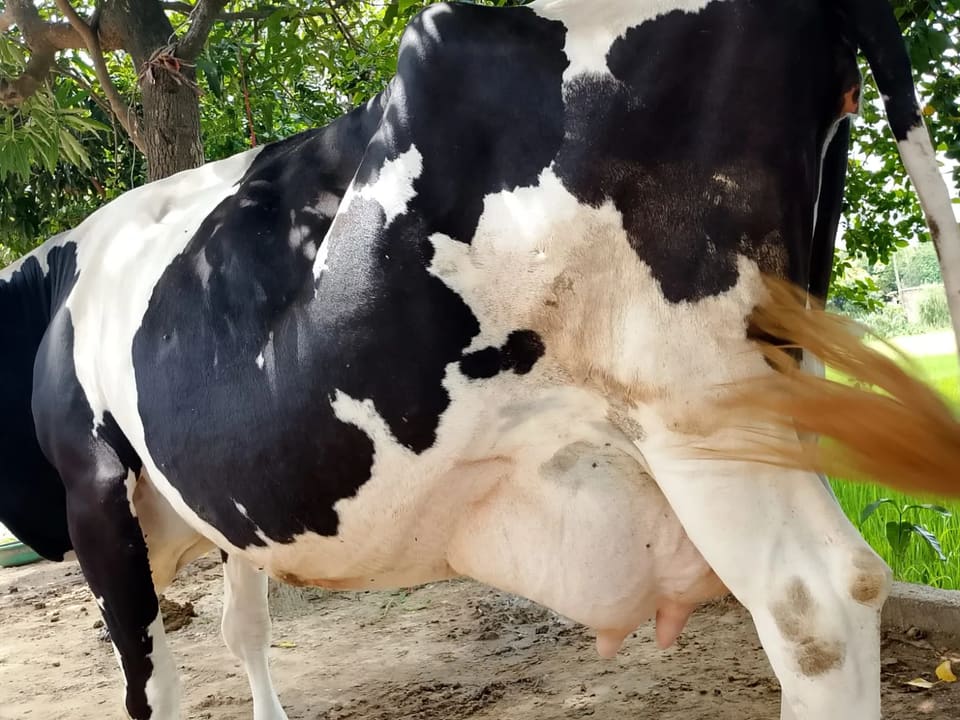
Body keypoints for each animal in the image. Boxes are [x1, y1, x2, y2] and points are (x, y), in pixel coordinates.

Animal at [2, 1, 959, 719]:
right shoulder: (220, 501)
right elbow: (246, 629)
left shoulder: (93, 486)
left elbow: (147, 678)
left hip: (695, 400)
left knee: (815, 604)